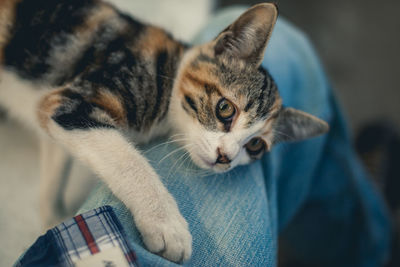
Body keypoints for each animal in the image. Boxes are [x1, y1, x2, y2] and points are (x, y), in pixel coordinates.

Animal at [0, 0, 328, 264]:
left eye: (256, 146)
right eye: (225, 109)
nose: (225, 157)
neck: (166, 72)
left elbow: (56, 164)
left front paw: (52, 216)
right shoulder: (70, 103)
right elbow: (127, 160)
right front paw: (167, 226)